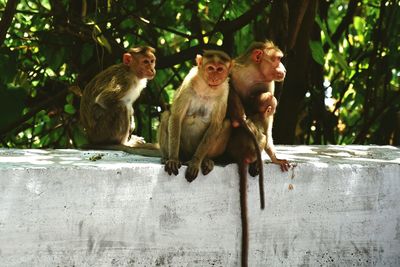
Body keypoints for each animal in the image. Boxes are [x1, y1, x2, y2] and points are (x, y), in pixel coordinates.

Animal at [159, 50, 233, 183]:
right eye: (210, 68)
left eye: (220, 69)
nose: (215, 77)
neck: (207, 87)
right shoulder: (188, 81)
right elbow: (176, 116)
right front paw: (172, 158)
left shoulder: (225, 90)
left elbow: (216, 125)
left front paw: (196, 162)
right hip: (183, 151)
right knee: (167, 115)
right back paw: (166, 158)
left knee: (227, 124)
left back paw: (206, 160)